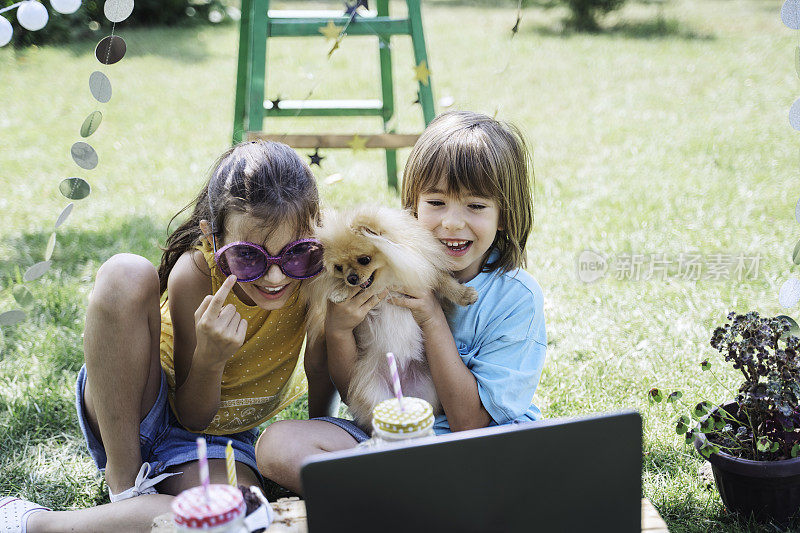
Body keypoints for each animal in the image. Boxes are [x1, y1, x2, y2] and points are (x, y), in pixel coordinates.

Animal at [308, 206, 478, 426]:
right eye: (339, 268)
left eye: (364, 260)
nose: (351, 278)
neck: (388, 279)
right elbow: (352, 290)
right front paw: (340, 291)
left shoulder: (422, 270)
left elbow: (445, 282)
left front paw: (465, 295)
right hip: (373, 392)